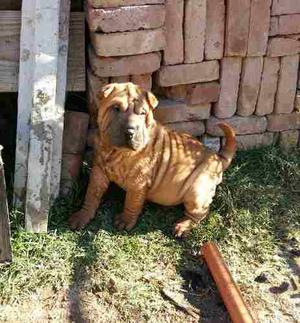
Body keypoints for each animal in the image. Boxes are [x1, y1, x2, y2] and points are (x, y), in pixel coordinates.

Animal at [68, 82, 237, 237]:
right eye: (116, 108)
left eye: (142, 113)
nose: (130, 131)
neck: (116, 151)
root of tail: (218, 158)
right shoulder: (99, 170)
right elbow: (92, 194)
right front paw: (81, 216)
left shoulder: (138, 182)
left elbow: (132, 202)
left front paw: (125, 221)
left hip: (197, 191)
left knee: (200, 213)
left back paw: (182, 227)